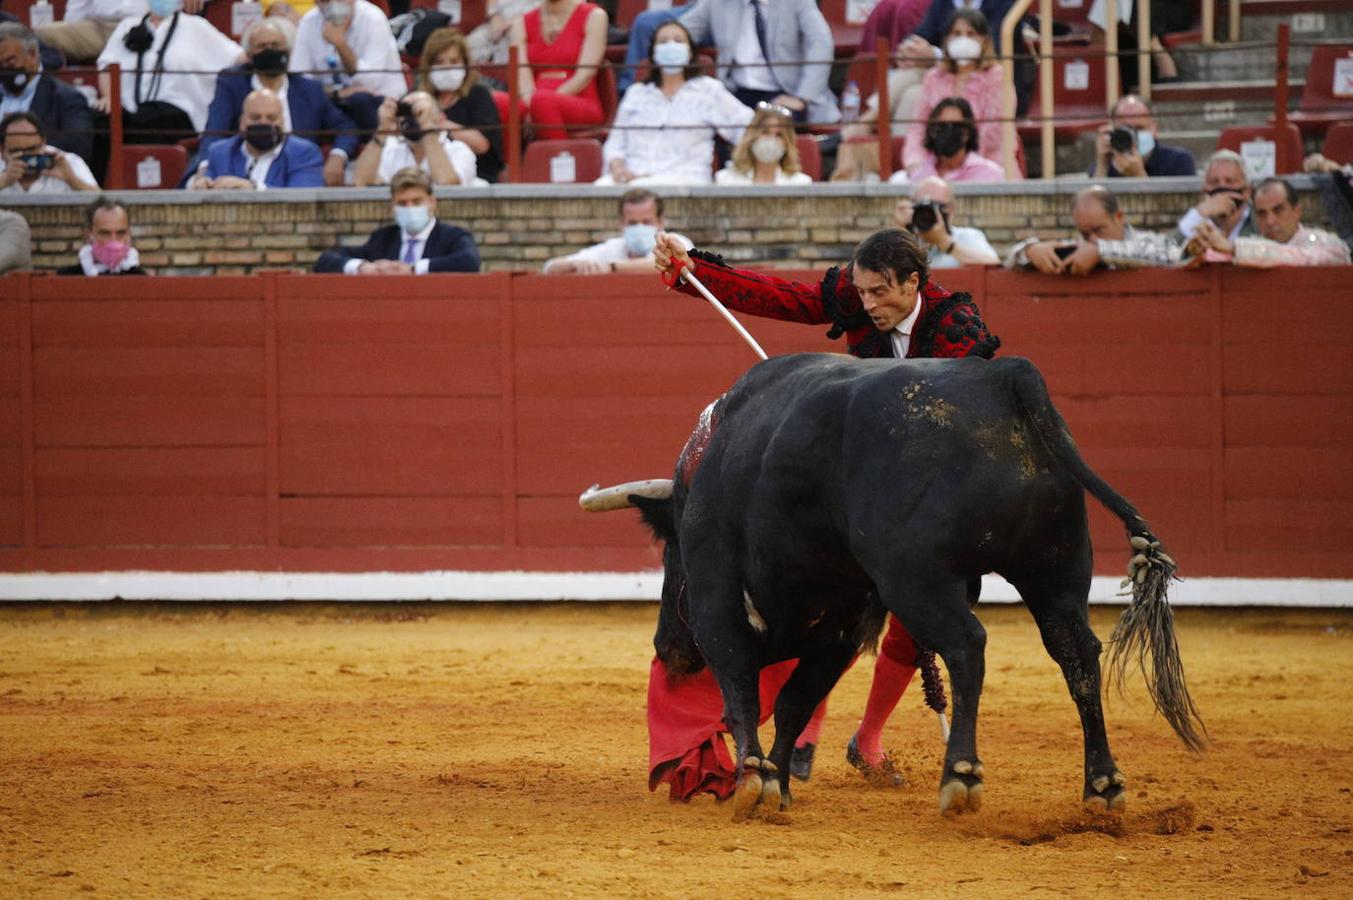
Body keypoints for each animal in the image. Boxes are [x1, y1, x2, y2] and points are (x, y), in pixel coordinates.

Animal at [608, 354, 1201, 817]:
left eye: (671, 557)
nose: (667, 650)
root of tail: (1005, 377)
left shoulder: (719, 599)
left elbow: (741, 688)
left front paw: (754, 780)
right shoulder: (842, 625)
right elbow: (797, 700)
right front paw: (777, 781)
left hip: (917, 580)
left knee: (967, 645)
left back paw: (960, 774)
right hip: (1054, 572)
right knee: (1075, 653)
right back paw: (1102, 785)